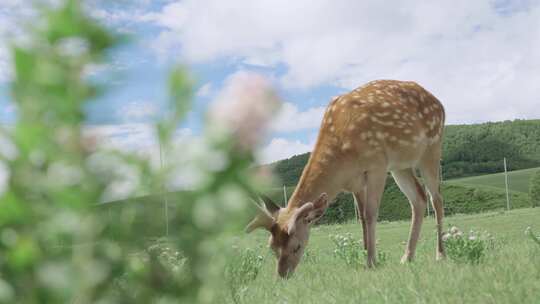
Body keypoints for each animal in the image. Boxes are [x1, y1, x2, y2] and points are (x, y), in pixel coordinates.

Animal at [247, 80, 446, 278]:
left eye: (297, 246)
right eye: (271, 247)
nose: (282, 275)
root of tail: (440, 104)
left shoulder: (377, 165)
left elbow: (371, 213)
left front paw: (372, 261)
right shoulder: (355, 182)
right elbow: (362, 218)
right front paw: (367, 259)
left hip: (432, 149)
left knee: (436, 199)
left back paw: (440, 254)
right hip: (401, 165)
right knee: (419, 199)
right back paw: (407, 257)